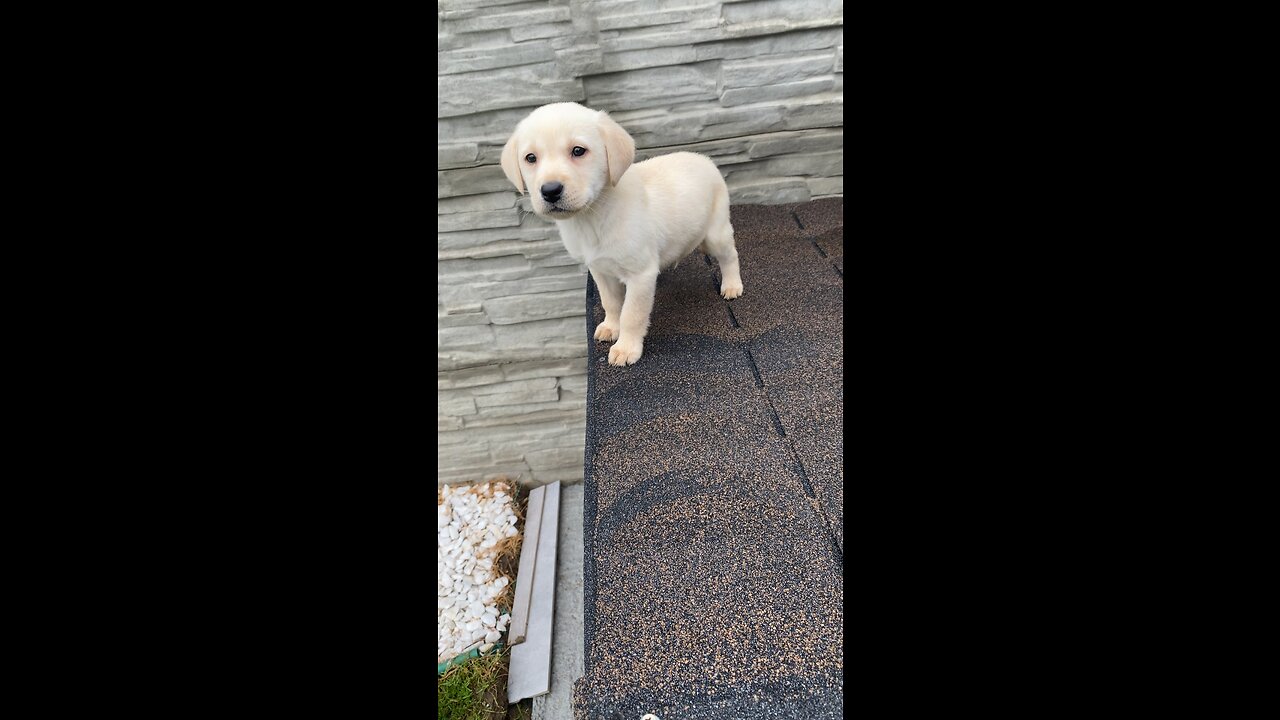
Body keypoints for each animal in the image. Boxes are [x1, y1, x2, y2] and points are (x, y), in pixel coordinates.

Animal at [499, 101, 742, 363]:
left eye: (578, 151)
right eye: (530, 158)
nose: (550, 190)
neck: (591, 218)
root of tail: (704, 158)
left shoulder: (641, 275)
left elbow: (631, 314)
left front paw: (626, 348)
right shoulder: (600, 270)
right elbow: (611, 303)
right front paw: (611, 327)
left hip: (716, 233)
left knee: (730, 256)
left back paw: (732, 285)